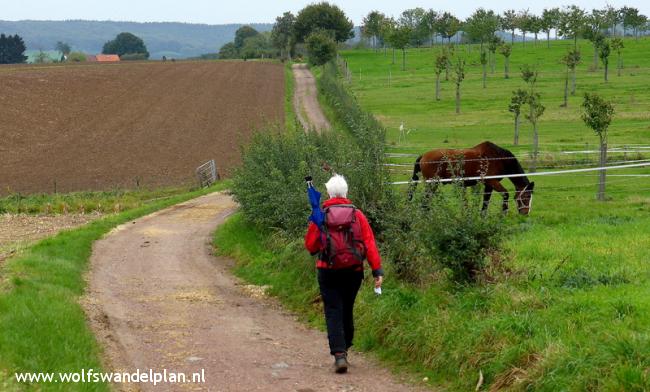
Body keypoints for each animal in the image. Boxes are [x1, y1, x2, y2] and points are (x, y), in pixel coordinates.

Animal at [408, 141, 536, 214]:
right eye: (526, 196)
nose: (525, 212)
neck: (498, 158)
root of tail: (423, 155)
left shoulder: (488, 185)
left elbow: (485, 202)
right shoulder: (492, 181)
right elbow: (505, 194)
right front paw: (503, 213)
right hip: (432, 184)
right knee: (425, 201)